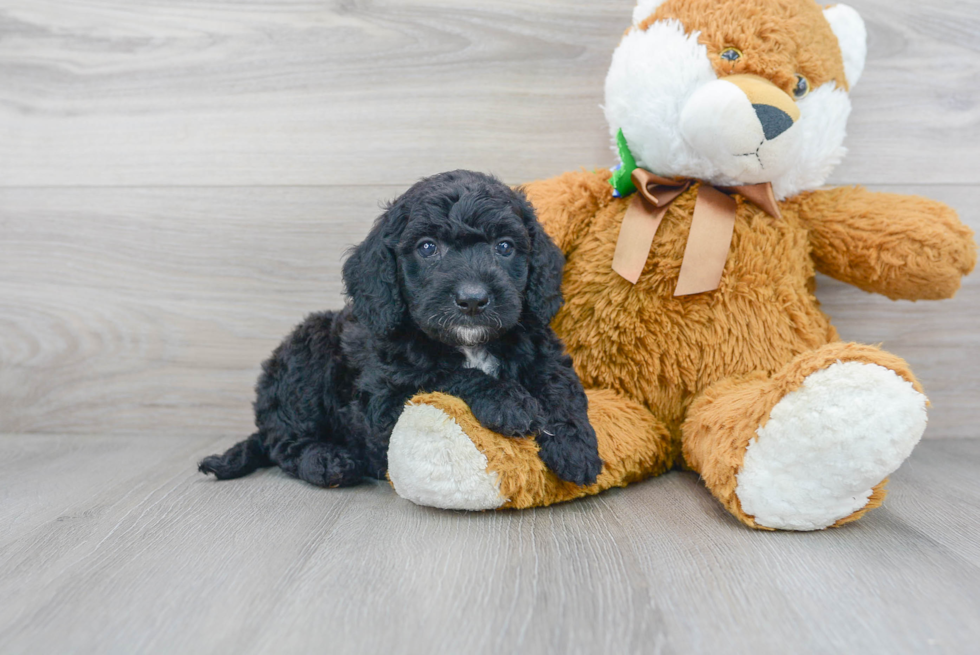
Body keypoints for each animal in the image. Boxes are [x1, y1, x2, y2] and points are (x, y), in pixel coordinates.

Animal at [198, 172, 600, 490]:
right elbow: (448, 376)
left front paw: (575, 447)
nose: (472, 299)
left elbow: (561, 389)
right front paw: (508, 402)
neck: (469, 343)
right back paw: (328, 461)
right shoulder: (384, 400)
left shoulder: (543, 353)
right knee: (285, 443)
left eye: (505, 247)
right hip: (306, 353)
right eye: (427, 247)